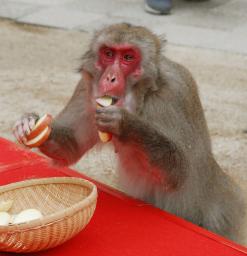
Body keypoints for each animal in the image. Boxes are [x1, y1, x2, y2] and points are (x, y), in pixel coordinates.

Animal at [14, 23, 245, 242]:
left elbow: (180, 173)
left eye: (128, 57)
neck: (144, 95)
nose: (110, 78)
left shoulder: (175, 93)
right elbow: (71, 147)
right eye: (108, 53)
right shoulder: (86, 88)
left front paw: (125, 124)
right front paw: (29, 122)